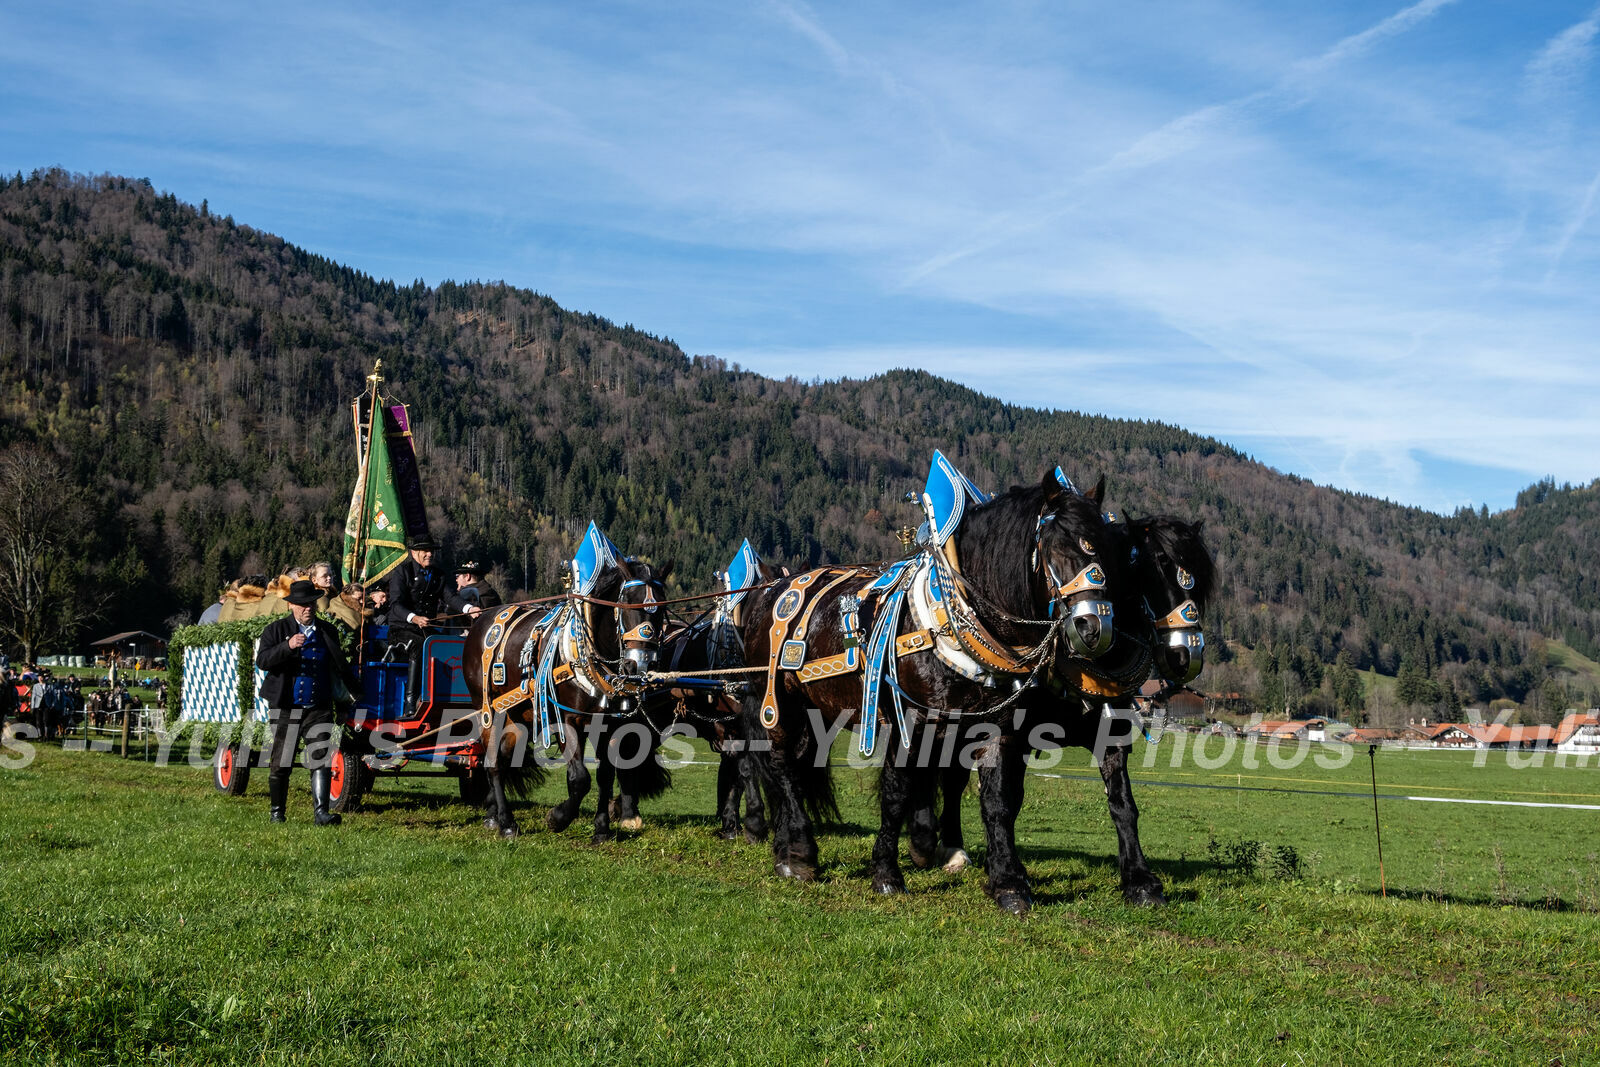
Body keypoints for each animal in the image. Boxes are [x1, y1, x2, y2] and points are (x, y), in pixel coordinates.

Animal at [915, 518, 1209, 908]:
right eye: (1154, 568)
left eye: (1199, 578)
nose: (1186, 656)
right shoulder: (1014, 738)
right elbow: (1005, 798)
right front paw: (1007, 874)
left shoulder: (1110, 736)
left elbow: (1123, 804)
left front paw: (1141, 881)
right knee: (947, 776)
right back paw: (943, 847)